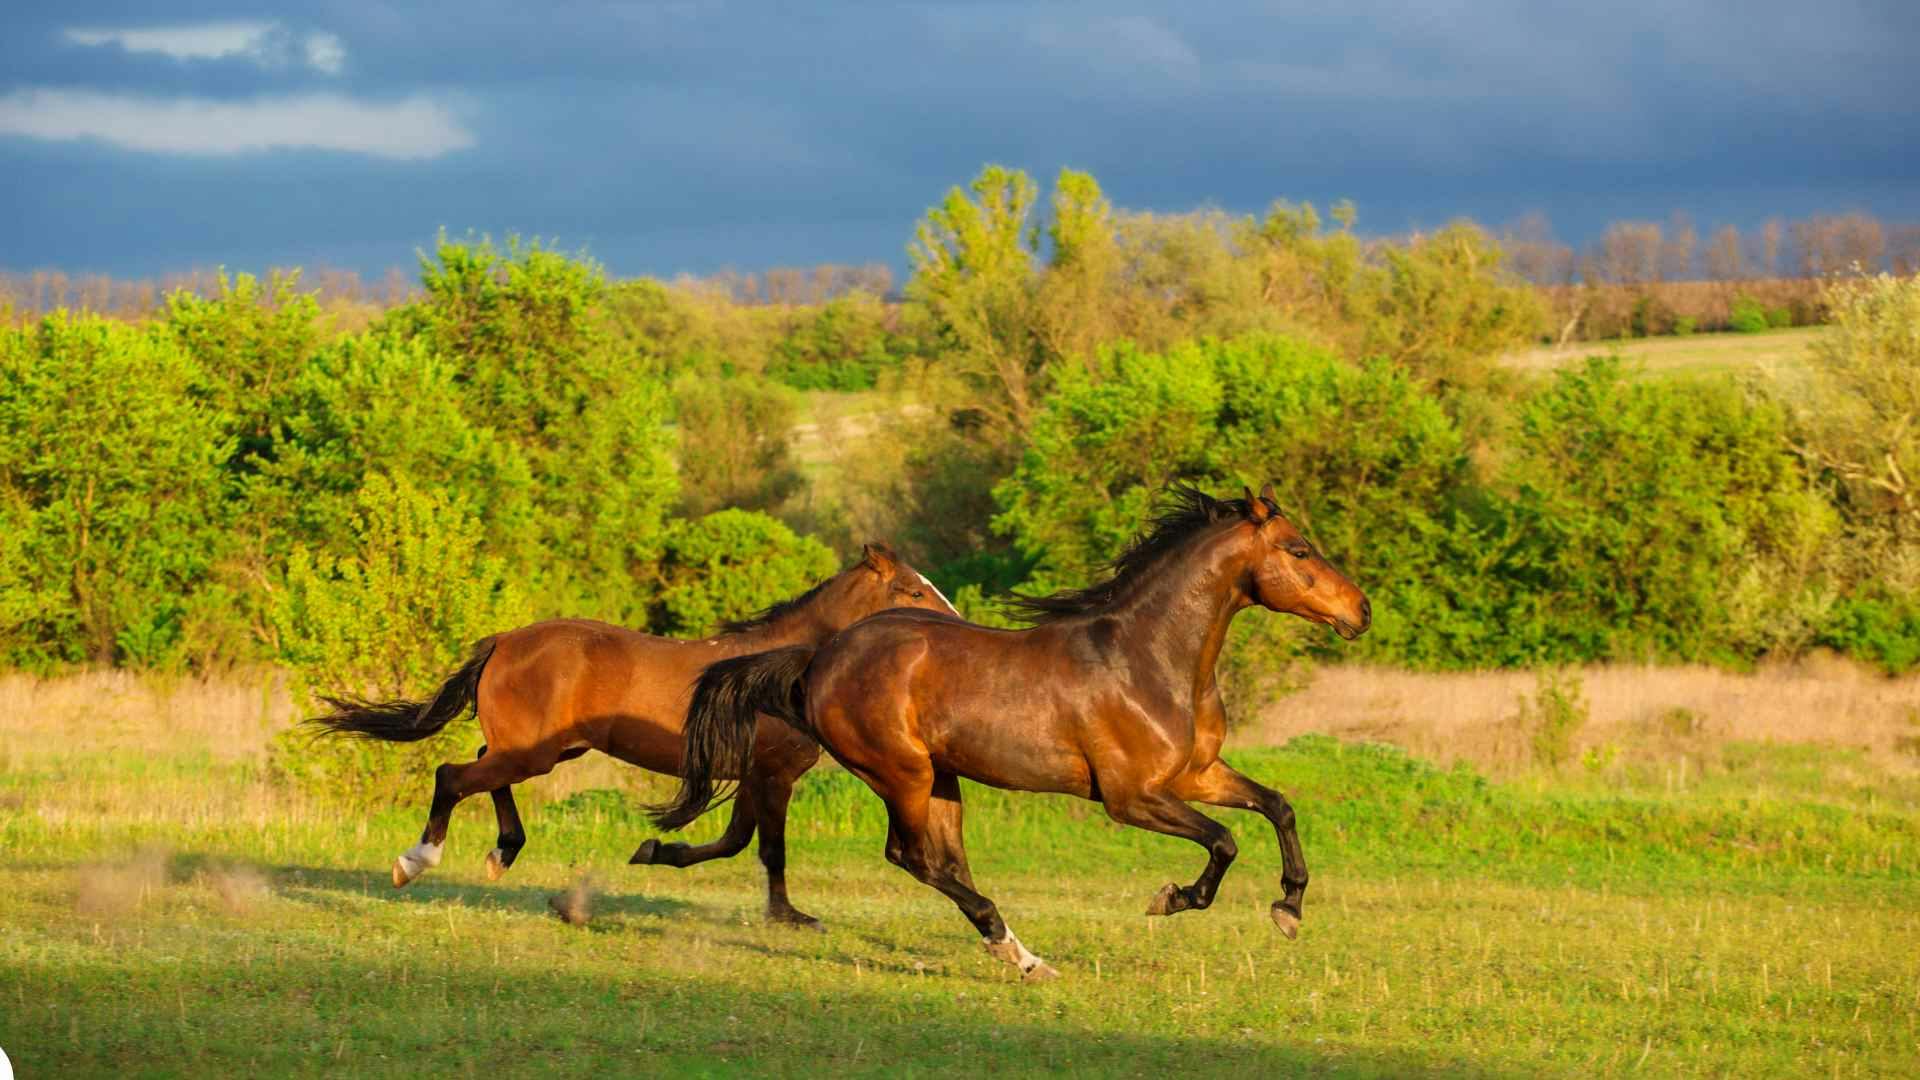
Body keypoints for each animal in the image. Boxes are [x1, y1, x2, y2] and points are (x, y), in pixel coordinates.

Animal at [308, 542, 959, 926]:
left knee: (482, 770)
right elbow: (768, 849)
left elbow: (733, 842)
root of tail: (504, 641)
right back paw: (415, 861)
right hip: (533, 753)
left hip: (541, 750)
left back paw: (503, 853)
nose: (955, 628)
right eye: (913, 590)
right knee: (453, 775)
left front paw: (654, 851)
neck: (777, 669)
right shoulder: (773, 775)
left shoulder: (752, 776)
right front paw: (790, 916)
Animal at [652, 485, 1369, 976]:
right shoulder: (1131, 798)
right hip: (902, 773)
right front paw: (1171, 899)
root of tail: (820, 657)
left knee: (943, 861)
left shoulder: (1196, 774)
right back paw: (1013, 949)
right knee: (913, 857)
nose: (1360, 611)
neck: (1147, 658)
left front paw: (1288, 910)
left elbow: (1278, 807)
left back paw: (1020, 953)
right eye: (1299, 549)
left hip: (942, 778)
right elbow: (1223, 841)